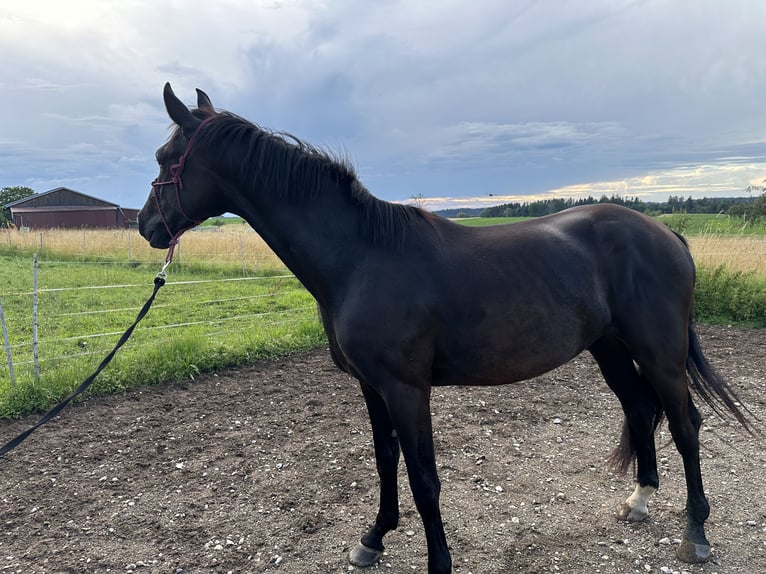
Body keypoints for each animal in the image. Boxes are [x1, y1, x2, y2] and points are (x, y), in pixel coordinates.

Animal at [136, 83, 752, 572]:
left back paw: (696, 534)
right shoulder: (372, 387)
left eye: (166, 158)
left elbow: (423, 477)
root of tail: (666, 233)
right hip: (610, 348)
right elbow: (385, 461)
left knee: (686, 425)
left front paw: (438, 560)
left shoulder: (407, 389)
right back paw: (640, 501)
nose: (145, 227)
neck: (361, 257)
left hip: (660, 351)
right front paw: (372, 540)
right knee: (641, 409)